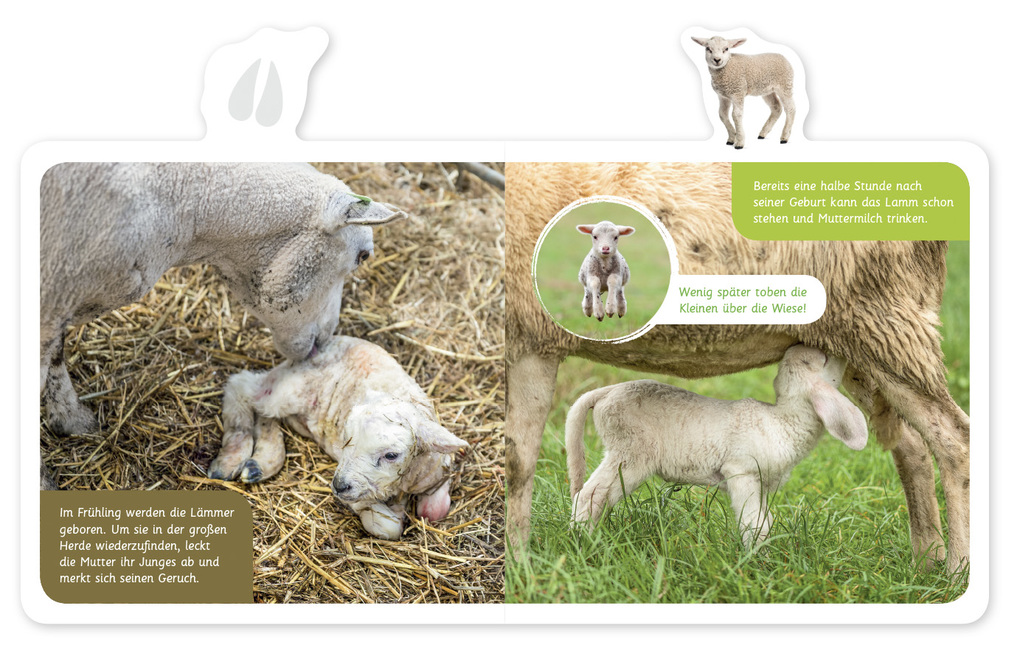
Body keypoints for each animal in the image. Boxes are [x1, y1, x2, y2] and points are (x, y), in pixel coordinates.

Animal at [211, 335, 469, 540]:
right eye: (346, 438)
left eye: (391, 455)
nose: (339, 485)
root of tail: (324, 343)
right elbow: (388, 526)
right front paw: (389, 511)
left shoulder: (436, 471)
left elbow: (434, 512)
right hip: (287, 389)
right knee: (241, 386)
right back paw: (231, 457)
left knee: (266, 416)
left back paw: (261, 463)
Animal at [566, 345, 868, 548]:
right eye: (825, 359)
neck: (782, 421)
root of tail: (605, 393)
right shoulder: (741, 470)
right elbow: (753, 524)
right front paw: (757, 560)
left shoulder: (761, 482)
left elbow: (765, 520)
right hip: (630, 452)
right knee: (589, 496)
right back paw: (583, 541)